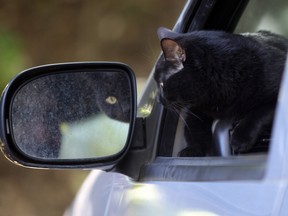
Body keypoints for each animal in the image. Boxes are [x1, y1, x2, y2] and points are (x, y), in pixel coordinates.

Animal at [154, 26, 288, 157]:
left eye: (161, 84)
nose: (159, 100)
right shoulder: (197, 109)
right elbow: (195, 130)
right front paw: (192, 150)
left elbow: (259, 113)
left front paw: (240, 138)